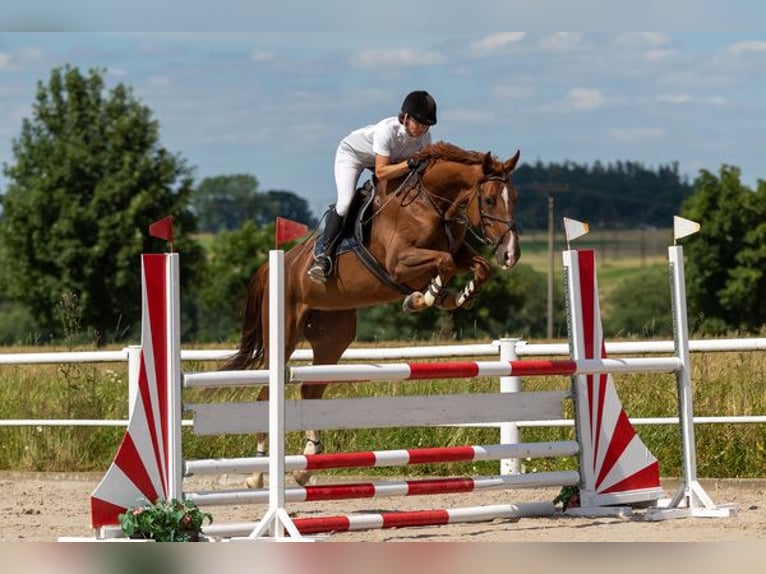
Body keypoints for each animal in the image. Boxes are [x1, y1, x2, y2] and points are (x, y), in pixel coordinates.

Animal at [222, 141, 522, 488]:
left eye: (514, 198)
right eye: (489, 199)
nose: (511, 254)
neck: (432, 204)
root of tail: (274, 266)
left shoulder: (458, 252)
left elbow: (478, 266)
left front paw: (457, 296)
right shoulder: (400, 262)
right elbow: (443, 263)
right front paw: (423, 298)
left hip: (333, 336)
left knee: (310, 390)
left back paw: (304, 468)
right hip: (282, 335)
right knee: (265, 393)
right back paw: (257, 474)